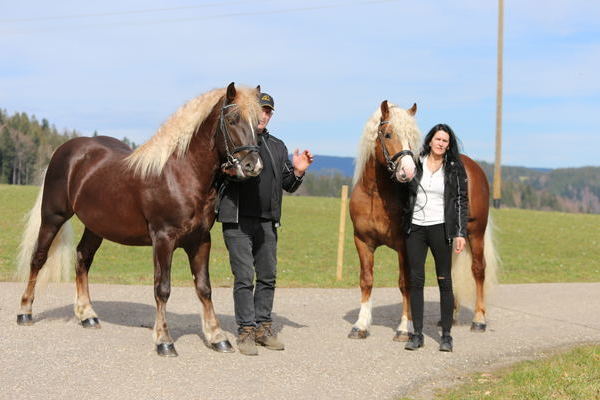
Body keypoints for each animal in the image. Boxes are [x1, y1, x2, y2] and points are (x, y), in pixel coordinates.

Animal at [15, 82, 264, 356]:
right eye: (232, 119)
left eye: (257, 124)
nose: (253, 166)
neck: (181, 173)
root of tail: (67, 151)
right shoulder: (163, 239)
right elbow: (162, 289)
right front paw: (164, 340)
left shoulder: (200, 240)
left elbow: (204, 288)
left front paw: (217, 336)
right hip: (53, 216)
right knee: (38, 258)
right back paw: (25, 312)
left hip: (95, 226)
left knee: (82, 258)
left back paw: (87, 315)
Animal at [350, 100, 500, 340]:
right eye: (388, 134)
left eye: (412, 137)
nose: (408, 171)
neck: (375, 195)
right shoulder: (362, 242)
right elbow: (366, 280)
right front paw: (361, 325)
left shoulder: (404, 245)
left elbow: (405, 283)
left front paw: (404, 328)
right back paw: (451, 317)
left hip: (475, 233)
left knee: (478, 269)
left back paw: (479, 320)